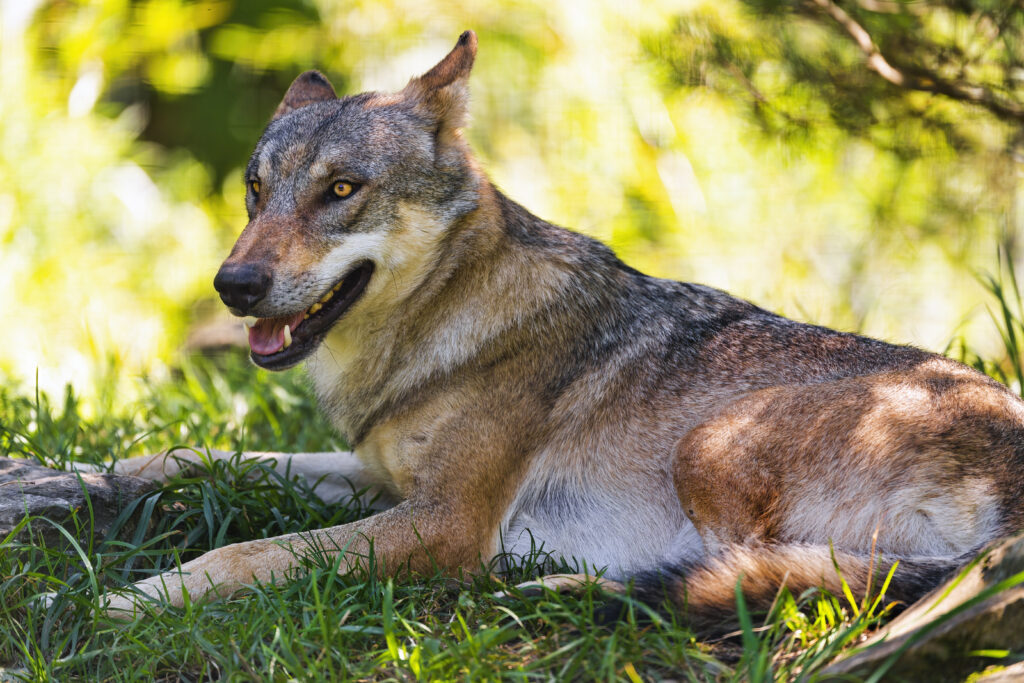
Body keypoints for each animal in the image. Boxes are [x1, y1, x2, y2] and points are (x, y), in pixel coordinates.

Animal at [96, 31, 1024, 630]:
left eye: (341, 190)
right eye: (256, 191)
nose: (234, 286)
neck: (444, 325)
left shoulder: (444, 523)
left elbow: (245, 554)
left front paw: (131, 598)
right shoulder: (383, 476)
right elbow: (203, 453)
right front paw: (99, 475)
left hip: (708, 445)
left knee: (743, 584)